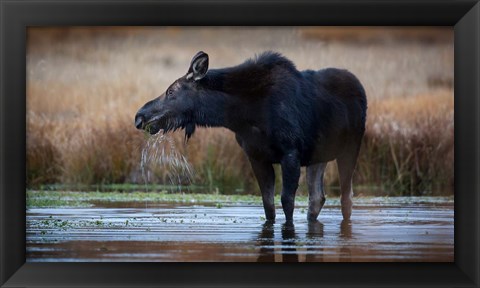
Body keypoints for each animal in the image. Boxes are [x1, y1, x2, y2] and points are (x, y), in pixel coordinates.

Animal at [135, 51, 368, 222]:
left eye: (171, 91)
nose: (140, 116)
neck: (242, 115)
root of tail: (360, 86)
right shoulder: (256, 156)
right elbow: (268, 205)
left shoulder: (290, 153)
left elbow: (287, 202)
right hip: (318, 156)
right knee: (317, 198)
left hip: (351, 147)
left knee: (346, 198)